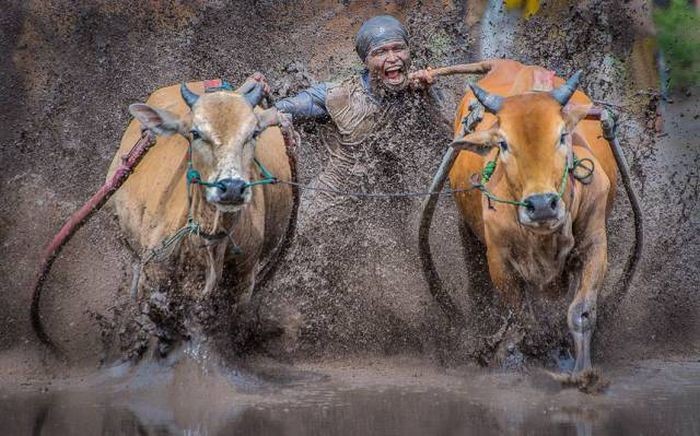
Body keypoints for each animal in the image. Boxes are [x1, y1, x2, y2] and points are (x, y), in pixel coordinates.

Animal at [446, 58, 620, 374]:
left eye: (562, 135)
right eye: (503, 143)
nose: (541, 205)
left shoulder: (595, 245)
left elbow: (581, 313)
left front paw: (581, 371)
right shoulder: (499, 262)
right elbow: (526, 322)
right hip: (467, 231)